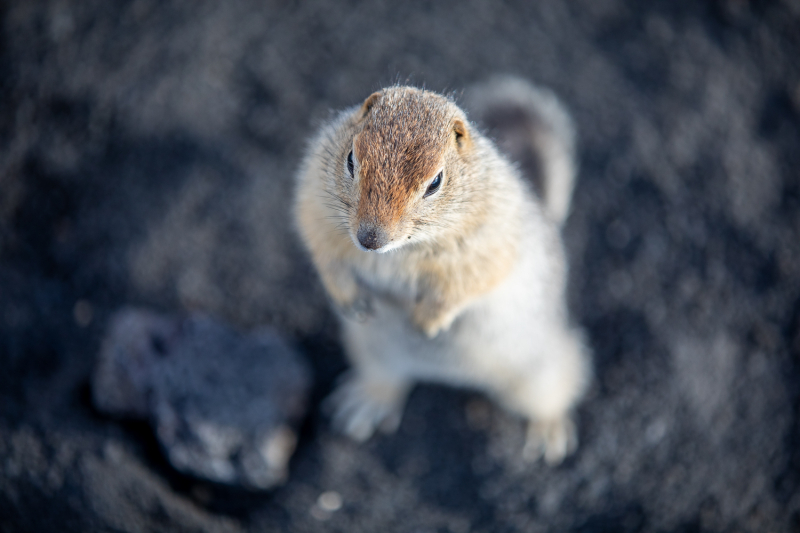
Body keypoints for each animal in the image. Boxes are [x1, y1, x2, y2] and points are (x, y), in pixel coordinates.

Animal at [294, 78, 588, 462]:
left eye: (435, 182)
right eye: (350, 160)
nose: (370, 239)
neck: (396, 252)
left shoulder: (488, 243)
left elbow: (466, 283)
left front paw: (427, 321)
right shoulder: (316, 205)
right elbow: (324, 254)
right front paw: (350, 299)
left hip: (542, 371)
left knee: (559, 388)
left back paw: (550, 431)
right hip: (370, 349)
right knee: (388, 375)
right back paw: (368, 399)